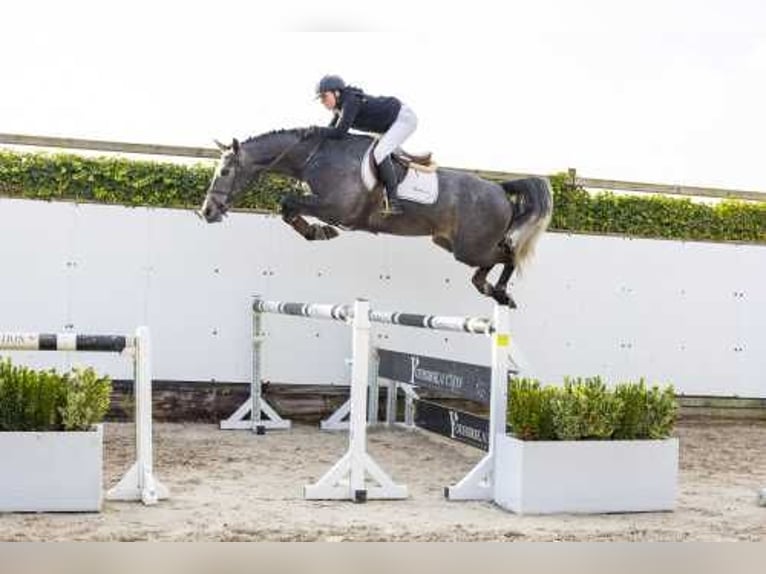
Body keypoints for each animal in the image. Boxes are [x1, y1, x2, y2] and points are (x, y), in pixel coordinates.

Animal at [201, 128, 556, 308]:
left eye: (226, 171)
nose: (207, 211)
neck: (315, 156)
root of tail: (499, 187)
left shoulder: (336, 207)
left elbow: (286, 202)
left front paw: (320, 232)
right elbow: (288, 208)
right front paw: (317, 232)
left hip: (470, 247)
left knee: (508, 255)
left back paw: (501, 293)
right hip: (452, 244)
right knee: (491, 262)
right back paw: (488, 287)